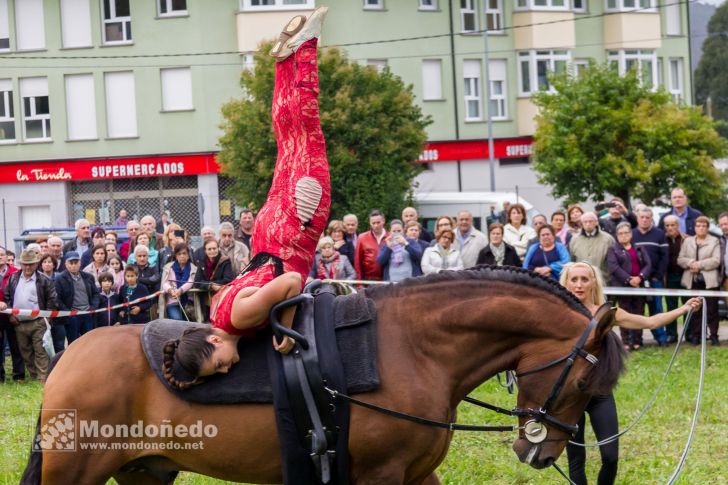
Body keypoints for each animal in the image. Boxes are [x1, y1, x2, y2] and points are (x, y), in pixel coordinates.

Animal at [22, 266, 624, 482]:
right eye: (582, 383)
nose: (540, 452)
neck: (413, 346)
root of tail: (65, 364)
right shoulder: (380, 477)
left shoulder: (414, 476)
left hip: (145, 472)